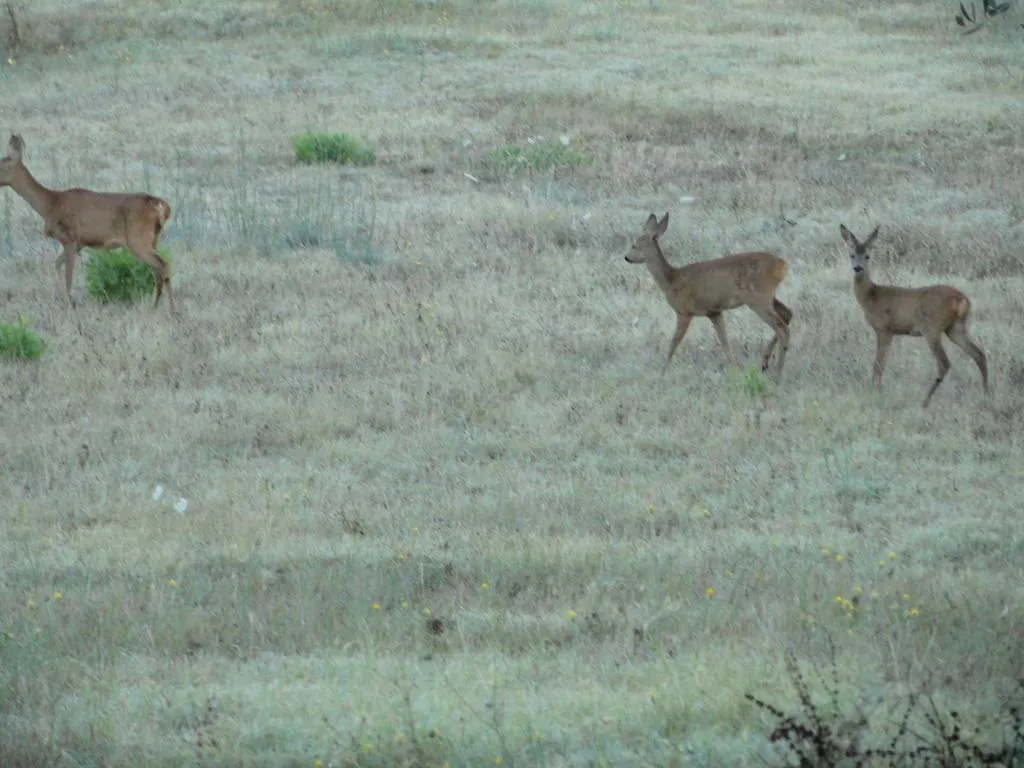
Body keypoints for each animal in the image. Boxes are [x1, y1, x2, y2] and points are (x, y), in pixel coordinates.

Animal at [0, 135, 175, 313]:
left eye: (1, 166)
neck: (50, 204)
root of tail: (162, 205)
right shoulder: (79, 243)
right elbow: (56, 264)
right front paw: (65, 303)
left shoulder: (70, 238)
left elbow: (68, 277)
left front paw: (69, 306)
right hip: (153, 239)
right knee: (157, 270)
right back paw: (155, 307)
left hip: (137, 239)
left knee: (164, 265)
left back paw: (173, 310)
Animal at [622, 211, 790, 376]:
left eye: (636, 245)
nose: (627, 257)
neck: (671, 280)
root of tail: (782, 265)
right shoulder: (714, 312)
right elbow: (724, 342)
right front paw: (735, 369)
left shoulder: (684, 311)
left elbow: (674, 343)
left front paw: (663, 370)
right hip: (767, 296)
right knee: (787, 314)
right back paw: (766, 363)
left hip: (758, 297)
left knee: (782, 328)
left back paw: (777, 373)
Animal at [835, 224, 987, 409]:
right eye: (851, 255)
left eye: (867, 256)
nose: (857, 268)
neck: (872, 296)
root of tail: (961, 299)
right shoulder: (891, 331)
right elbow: (882, 363)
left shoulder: (884, 328)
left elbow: (878, 364)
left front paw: (874, 393)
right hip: (955, 327)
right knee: (979, 354)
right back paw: (987, 395)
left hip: (932, 327)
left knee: (944, 362)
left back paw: (925, 401)